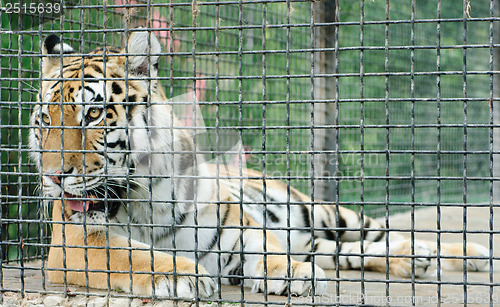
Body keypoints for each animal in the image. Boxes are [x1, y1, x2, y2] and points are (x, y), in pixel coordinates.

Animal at [28, 31, 488, 300]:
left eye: (92, 115)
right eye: (46, 120)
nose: (54, 177)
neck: (142, 199)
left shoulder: (238, 226)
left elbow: (267, 248)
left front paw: (291, 274)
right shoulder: (73, 242)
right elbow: (129, 255)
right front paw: (183, 275)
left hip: (322, 212)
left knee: (381, 234)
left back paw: (467, 253)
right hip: (318, 237)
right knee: (344, 252)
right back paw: (418, 260)